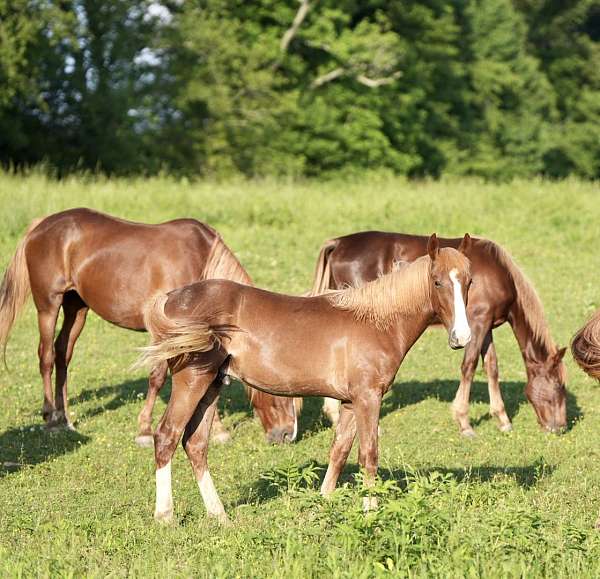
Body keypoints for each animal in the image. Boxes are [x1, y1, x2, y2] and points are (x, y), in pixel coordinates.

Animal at [0, 208, 298, 444]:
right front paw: (144, 429)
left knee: (63, 354)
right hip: (48, 306)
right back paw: (51, 419)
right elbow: (157, 377)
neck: (198, 264)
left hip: (77, 307)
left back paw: (66, 419)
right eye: (280, 393)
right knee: (47, 356)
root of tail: (41, 225)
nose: (286, 434)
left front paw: (218, 430)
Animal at [136, 233, 474, 524]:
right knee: (167, 436)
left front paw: (323, 503)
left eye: (469, 281)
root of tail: (171, 299)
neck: (378, 321)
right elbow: (369, 454)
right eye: (437, 281)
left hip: (212, 386)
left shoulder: (349, 402)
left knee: (195, 444)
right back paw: (165, 516)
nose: (462, 337)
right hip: (192, 382)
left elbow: (339, 451)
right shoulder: (368, 398)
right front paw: (370, 512)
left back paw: (220, 516)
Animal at [312, 231, 568, 436]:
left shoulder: (486, 327)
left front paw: (502, 419)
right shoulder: (478, 322)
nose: (560, 427)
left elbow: (492, 367)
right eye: (558, 386)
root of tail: (339, 243)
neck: (500, 274)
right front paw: (464, 422)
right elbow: (469, 366)